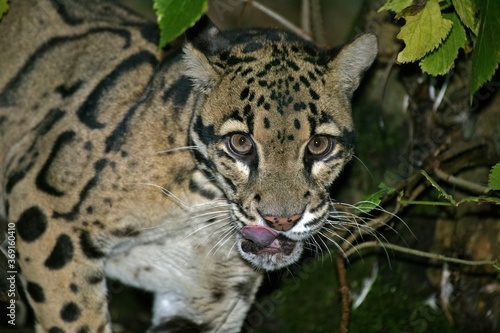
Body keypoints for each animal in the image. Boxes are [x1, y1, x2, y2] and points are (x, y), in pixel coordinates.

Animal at [0, 1, 376, 330]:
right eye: (240, 143)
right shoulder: (43, 212)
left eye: (319, 145)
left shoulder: (206, 296)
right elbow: (74, 318)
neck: (201, 205)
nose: (281, 220)